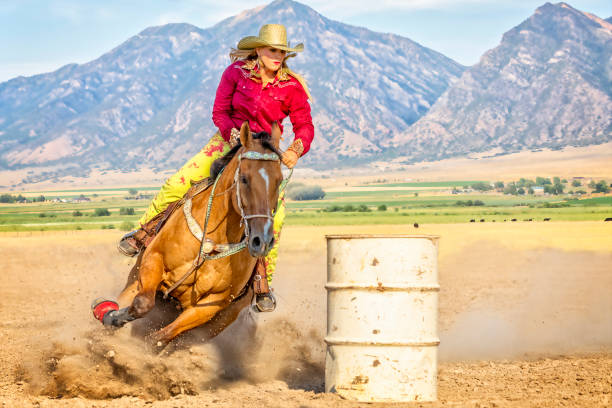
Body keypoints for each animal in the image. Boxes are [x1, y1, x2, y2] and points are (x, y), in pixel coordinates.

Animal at [91, 122, 284, 346]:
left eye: (279, 180)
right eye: (244, 179)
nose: (261, 241)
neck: (210, 242)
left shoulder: (211, 305)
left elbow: (159, 338)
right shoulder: (153, 259)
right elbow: (141, 304)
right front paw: (107, 314)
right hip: (136, 277)